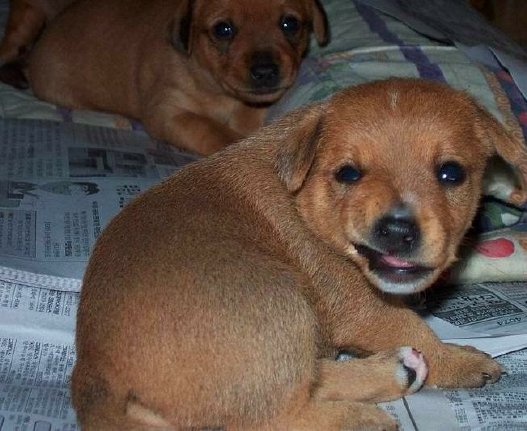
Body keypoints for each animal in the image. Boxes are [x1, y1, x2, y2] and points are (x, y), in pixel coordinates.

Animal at [71, 78, 527, 430]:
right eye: (348, 173)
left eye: (452, 173)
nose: (398, 230)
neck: (304, 202)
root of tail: (92, 374)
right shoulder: (363, 307)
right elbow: (415, 328)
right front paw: (458, 361)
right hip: (281, 307)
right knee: (273, 416)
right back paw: (361, 416)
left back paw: (394, 370)